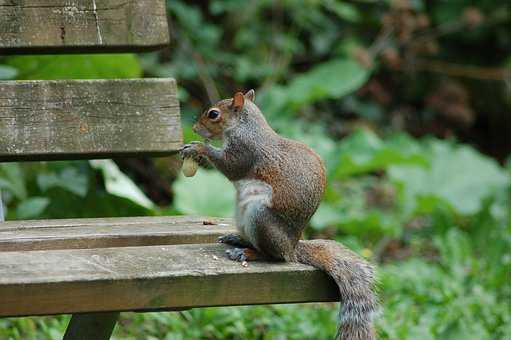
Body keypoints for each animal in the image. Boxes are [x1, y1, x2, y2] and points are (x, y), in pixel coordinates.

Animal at [182, 89, 378, 338]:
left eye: (213, 114)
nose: (194, 127)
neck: (245, 126)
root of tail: (292, 248)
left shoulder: (245, 151)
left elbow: (230, 166)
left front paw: (198, 148)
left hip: (260, 219)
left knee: (274, 257)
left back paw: (248, 253)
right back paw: (238, 239)